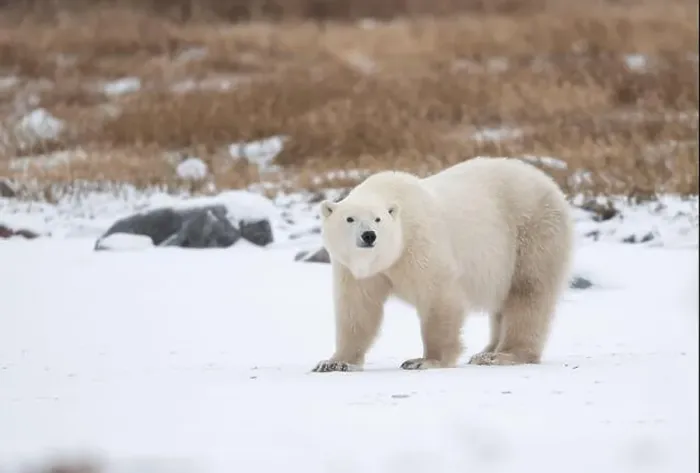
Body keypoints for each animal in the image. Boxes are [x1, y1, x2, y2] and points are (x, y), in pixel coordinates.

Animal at [311, 156, 574, 373]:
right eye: (350, 218)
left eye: (378, 219)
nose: (368, 236)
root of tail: (551, 184)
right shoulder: (354, 271)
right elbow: (358, 309)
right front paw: (335, 362)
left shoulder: (420, 243)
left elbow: (438, 296)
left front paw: (425, 360)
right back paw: (486, 350)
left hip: (532, 232)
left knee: (528, 292)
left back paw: (502, 355)